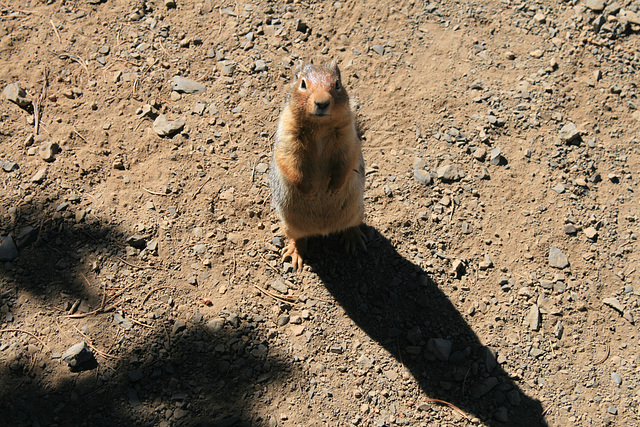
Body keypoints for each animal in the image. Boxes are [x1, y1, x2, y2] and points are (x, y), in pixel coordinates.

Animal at [268, 59, 364, 270]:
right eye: (302, 83)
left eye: (337, 84)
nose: (322, 102)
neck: (319, 127)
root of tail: (323, 229)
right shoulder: (287, 133)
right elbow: (290, 161)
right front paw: (308, 191)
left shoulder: (347, 135)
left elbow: (347, 159)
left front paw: (334, 187)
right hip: (289, 224)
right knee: (297, 238)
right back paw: (294, 253)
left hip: (357, 212)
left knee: (351, 226)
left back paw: (354, 239)